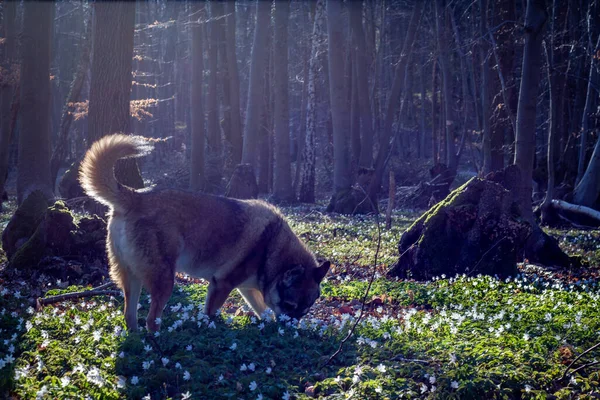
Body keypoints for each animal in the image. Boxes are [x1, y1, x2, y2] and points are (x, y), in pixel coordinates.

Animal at [78, 134, 330, 332]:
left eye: (305, 310)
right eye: (289, 306)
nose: (290, 332)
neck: (270, 246)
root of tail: (134, 196)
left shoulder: (247, 289)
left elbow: (263, 311)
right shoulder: (221, 285)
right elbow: (211, 314)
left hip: (132, 278)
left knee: (129, 316)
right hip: (164, 280)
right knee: (151, 320)